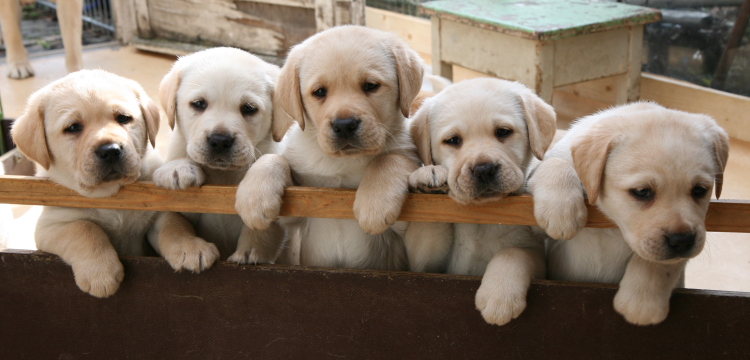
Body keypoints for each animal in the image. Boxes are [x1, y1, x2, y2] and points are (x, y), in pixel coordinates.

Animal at [11, 70, 197, 298]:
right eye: (73, 128)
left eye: (123, 118)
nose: (110, 150)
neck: (111, 195)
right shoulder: (49, 227)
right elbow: (84, 228)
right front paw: (99, 273)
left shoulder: (157, 211)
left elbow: (174, 224)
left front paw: (190, 248)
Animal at [151, 47, 286, 268]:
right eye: (199, 104)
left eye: (249, 108)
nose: (220, 140)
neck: (223, 175)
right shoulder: (163, 208)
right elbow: (170, 222)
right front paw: (189, 248)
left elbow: (275, 160)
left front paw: (256, 201)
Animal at [235, 26, 424, 270]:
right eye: (320, 92)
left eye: (371, 86)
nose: (344, 125)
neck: (342, 162)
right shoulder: (298, 209)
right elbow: (274, 159)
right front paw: (254, 199)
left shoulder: (406, 228)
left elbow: (390, 158)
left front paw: (375, 203)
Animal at [406, 79, 560, 326]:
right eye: (453, 140)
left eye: (503, 132)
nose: (484, 169)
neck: (481, 220)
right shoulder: (427, 267)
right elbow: (431, 225)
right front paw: (428, 176)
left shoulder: (538, 257)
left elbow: (514, 252)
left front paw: (500, 295)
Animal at [528, 102, 728, 326]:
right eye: (642, 191)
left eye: (700, 190)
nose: (682, 241)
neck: (611, 228)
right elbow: (552, 163)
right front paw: (561, 209)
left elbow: (660, 262)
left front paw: (641, 304)